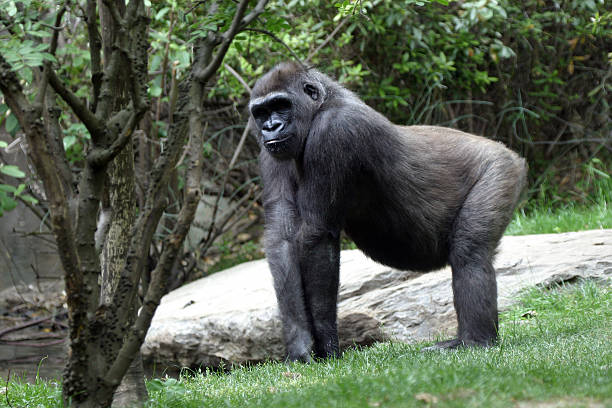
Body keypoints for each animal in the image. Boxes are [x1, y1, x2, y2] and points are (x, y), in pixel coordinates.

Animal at [247, 60, 524, 360]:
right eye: (261, 112)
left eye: (281, 105)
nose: (271, 127)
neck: (322, 104)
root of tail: (508, 152)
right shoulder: (270, 151)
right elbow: (282, 237)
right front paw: (300, 343)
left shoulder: (335, 130)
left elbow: (317, 235)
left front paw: (327, 343)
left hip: (500, 169)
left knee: (470, 253)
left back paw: (475, 341)